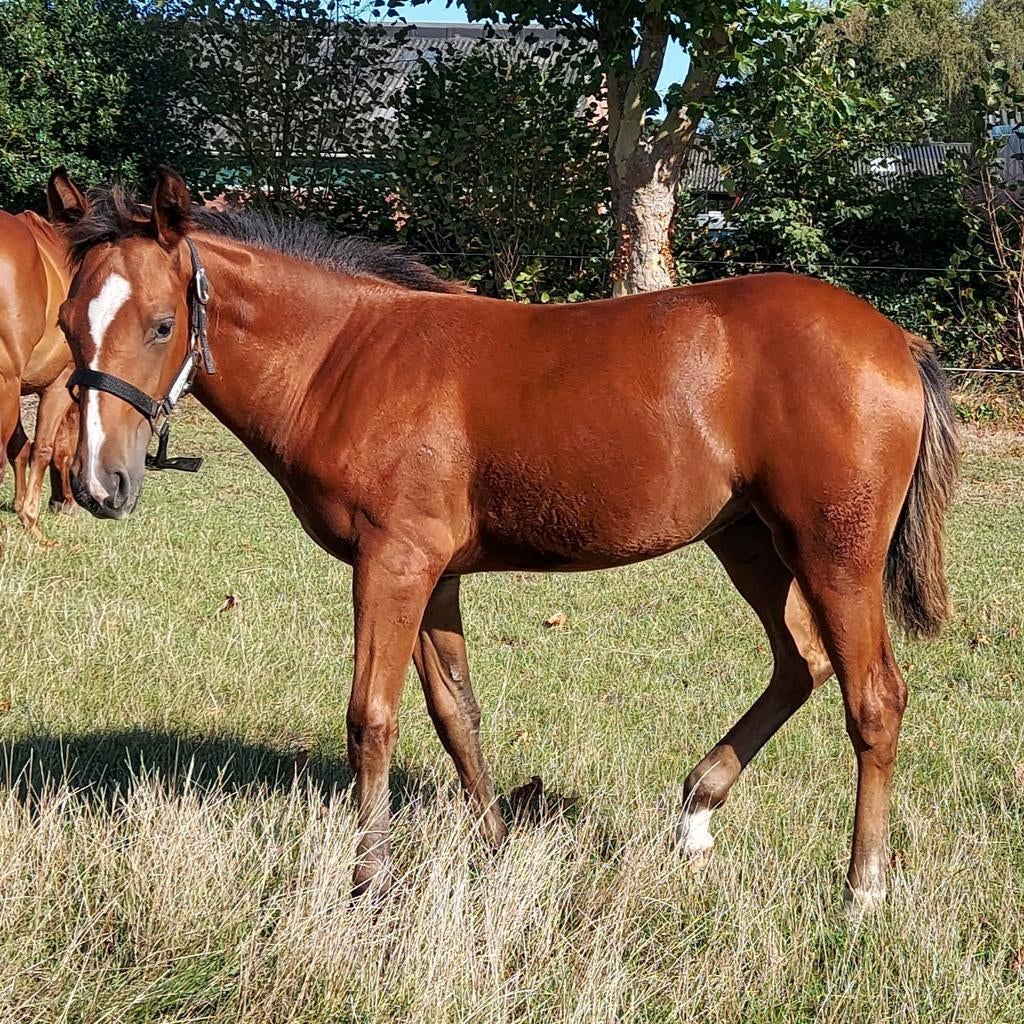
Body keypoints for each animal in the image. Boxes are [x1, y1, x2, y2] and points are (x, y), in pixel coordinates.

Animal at [49, 167, 959, 914]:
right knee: (799, 664)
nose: (99, 484)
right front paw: (494, 845)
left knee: (874, 697)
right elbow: (458, 711)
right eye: (65, 323)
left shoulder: (393, 563)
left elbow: (371, 717)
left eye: (161, 324)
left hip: (833, 552)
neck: (344, 357)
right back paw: (697, 813)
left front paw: (369, 880)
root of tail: (896, 342)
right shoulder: (434, 574)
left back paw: (863, 889)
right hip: (749, 544)